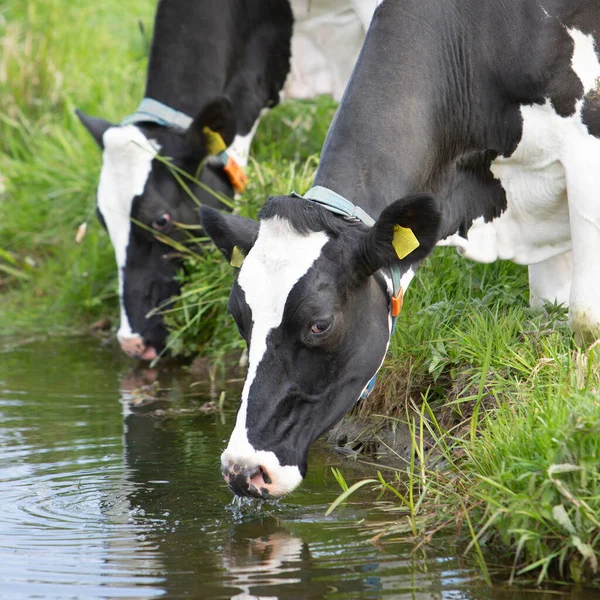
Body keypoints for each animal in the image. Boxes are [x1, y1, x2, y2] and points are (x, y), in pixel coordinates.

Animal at [200, 0, 600, 496]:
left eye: (319, 324)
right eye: (239, 315)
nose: (242, 469)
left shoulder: (585, 149)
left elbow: (585, 318)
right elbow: (549, 309)